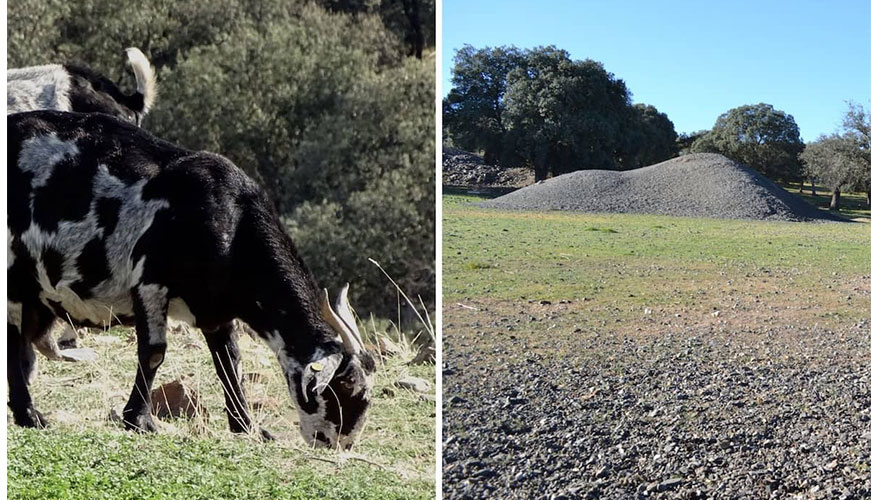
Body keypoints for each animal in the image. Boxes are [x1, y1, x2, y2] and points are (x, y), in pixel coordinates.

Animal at [7, 111, 376, 448]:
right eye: (345, 385)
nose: (340, 442)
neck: (231, 222)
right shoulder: (151, 283)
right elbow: (154, 352)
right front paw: (139, 420)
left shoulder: (216, 309)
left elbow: (230, 362)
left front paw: (247, 426)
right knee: (14, 341)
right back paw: (30, 414)